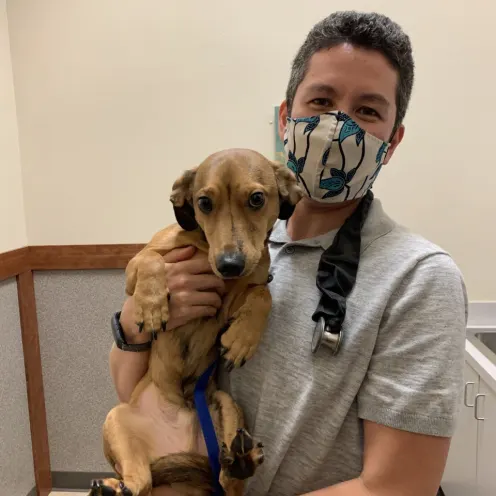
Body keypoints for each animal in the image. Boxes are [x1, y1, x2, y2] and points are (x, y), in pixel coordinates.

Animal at [89, 148, 302, 496]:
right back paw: (112, 488)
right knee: (139, 481)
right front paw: (151, 306)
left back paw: (240, 461)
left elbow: (263, 294)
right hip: (116, 420)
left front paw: (242, 339)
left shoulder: (239, 293)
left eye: (257, 199)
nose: (229, 265)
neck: (206, 248)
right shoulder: (136, 266)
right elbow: (152, 260)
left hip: (226, 406)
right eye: (203, 203)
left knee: (228, 481)